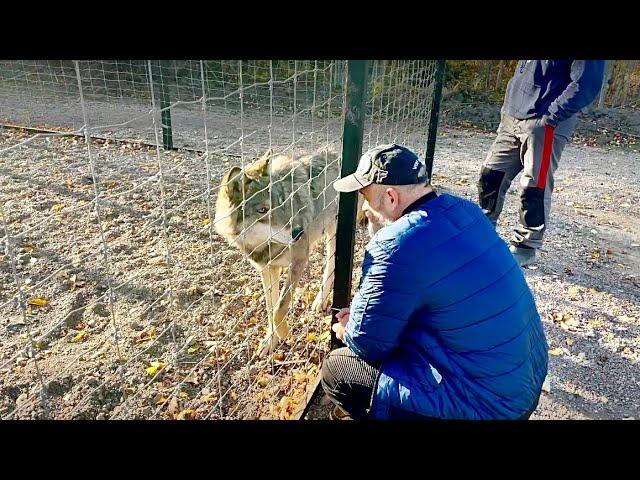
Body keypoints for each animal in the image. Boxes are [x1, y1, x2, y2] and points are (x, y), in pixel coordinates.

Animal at [214, 148, 350, 358]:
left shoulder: (300, 259)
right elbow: (271, 308)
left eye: (281, 203)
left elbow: (280, 306)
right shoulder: (267, 269)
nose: (299, 232)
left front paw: (283, 332)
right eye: (262, 210)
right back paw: (321, 301)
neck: (264, 246)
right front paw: (271, 341)